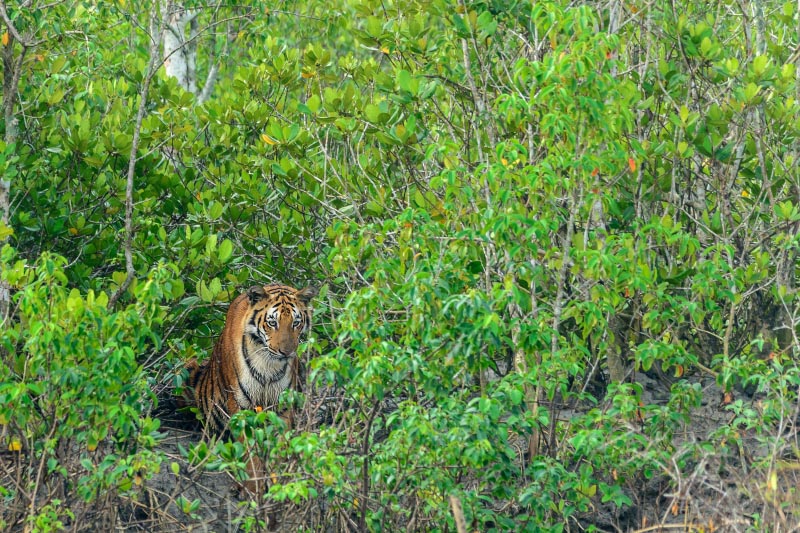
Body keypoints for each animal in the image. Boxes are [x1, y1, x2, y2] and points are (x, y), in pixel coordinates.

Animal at [182, 283, 317, 494]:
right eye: (272, 323)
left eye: (296, 323)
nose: (286, 352)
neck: (269, 364)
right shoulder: (241, 406)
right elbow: (249, 451)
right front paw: (253, 488)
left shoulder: (283, 407)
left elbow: (279, 446)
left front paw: (276, 485)